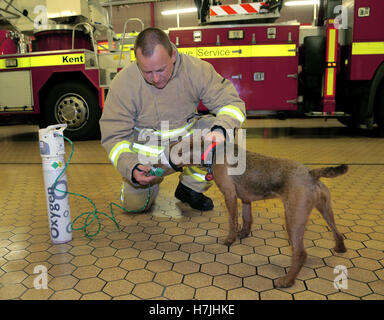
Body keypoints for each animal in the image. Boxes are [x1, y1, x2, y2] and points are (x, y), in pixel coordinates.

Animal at [158, 136, 350, 288]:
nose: (155, 165)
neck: (212, 152)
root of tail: (311, 173)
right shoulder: (245, 198)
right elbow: (246, 218)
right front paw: (243, 233)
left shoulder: (229, 194)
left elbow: (233, 221)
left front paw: (230, 239)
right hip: (325, 209)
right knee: (337, 233)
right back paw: (339, 248)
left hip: (293, 219)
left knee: (300, 253)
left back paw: (286, 281)